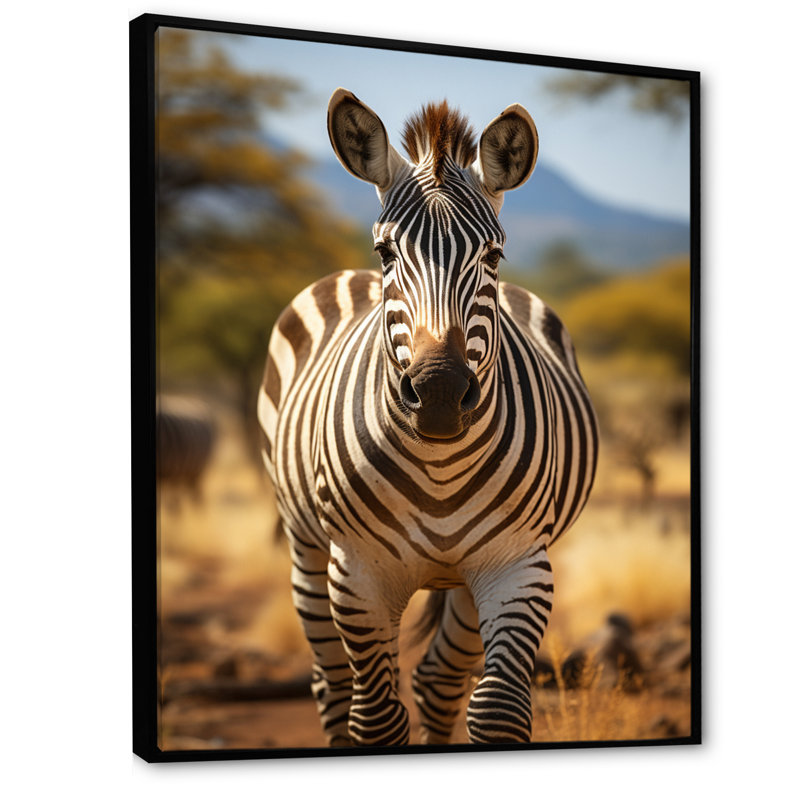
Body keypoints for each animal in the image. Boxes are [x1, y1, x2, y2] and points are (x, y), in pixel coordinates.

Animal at [258, 89, 598, 746]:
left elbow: (495, 711)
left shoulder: (519, 566)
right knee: (334, 687)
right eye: (385, 251)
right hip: (306, 547)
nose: (439, 393)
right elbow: (376, 719)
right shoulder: (357, 575)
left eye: (494, 254)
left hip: (464, 579)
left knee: (438, 681)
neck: (439, 464)